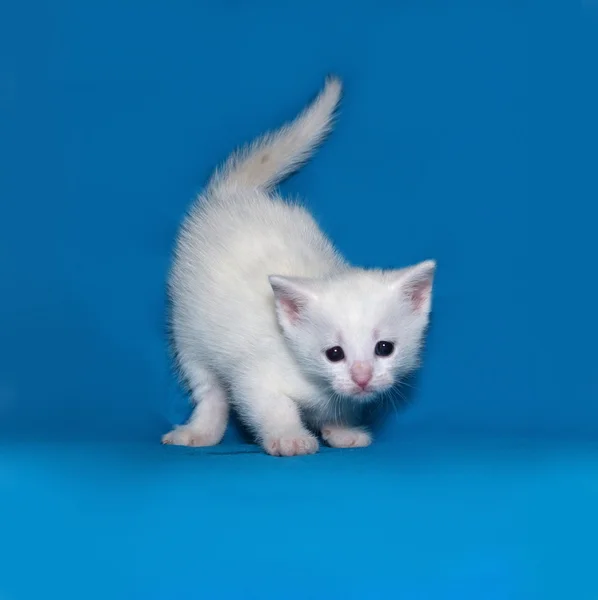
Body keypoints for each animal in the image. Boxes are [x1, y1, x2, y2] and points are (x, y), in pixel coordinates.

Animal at [164, 77, 436, 458]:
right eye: (334, 354)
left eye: (385, 348)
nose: (362, 376)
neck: (318, 384)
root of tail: (235, 195)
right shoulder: (256, 376)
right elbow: (271, 405)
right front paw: (290, 437)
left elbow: (340, 409)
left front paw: (342, 430)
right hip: (188, 327)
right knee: (209, 388)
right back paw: (202, 430)